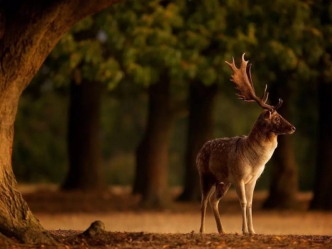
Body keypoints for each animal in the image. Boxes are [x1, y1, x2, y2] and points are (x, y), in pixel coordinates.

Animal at [197, 53, 296, 234]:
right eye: (276, 118)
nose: (293, 127)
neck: (255, 162)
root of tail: (200, 150)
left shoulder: (252, 179)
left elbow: (250, 204)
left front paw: (252, 230)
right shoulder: (239, 177)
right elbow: (242, 202)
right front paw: (244, 230)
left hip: (223, 181)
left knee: (214, 200)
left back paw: (222, 230)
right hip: (205, 175)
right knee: (203, 201)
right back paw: (201, 231)